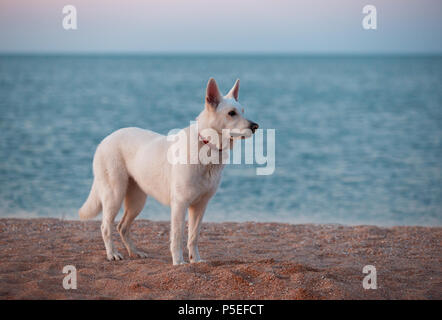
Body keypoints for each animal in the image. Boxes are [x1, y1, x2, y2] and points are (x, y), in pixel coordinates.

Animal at [80, 78, 258, 264]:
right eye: (231, 113)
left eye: (242, 111)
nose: (256, 126)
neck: (207, 145)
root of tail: (104, 140)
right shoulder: (180, 204)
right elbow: (178, 236)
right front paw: (179, 262)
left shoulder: (200, 206)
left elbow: (193, 236)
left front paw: (195, 260)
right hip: (114, 195)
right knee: (105, 226)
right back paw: (112, 254)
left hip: (137, 200)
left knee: (122, 227)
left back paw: (135, 252)